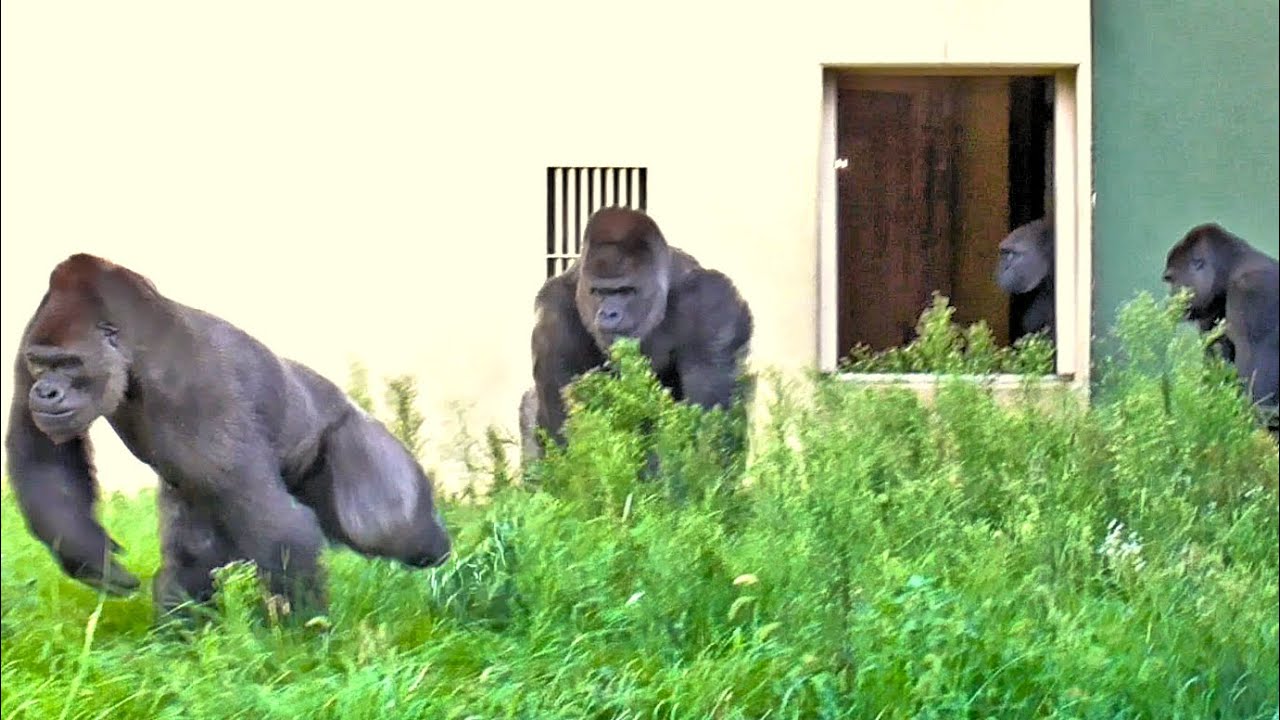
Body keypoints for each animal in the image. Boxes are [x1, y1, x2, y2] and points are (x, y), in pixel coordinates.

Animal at [5, 254, 452, 620]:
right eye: (41, 364)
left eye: (69, 363)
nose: (44, 392)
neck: (133, 347)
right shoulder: (30, 338)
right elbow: (42, 458)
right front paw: (84, 553)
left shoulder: (195, 385)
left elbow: (279, 527)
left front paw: (303, 648)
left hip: (350, 429)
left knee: (383, 525)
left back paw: (438, 547)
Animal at [1163, 223, 1279, 430]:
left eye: (1171, 279)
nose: (1171, 299)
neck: (1231, 267)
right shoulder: (1211, 308)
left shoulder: (1253, 293)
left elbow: (1260, 399)